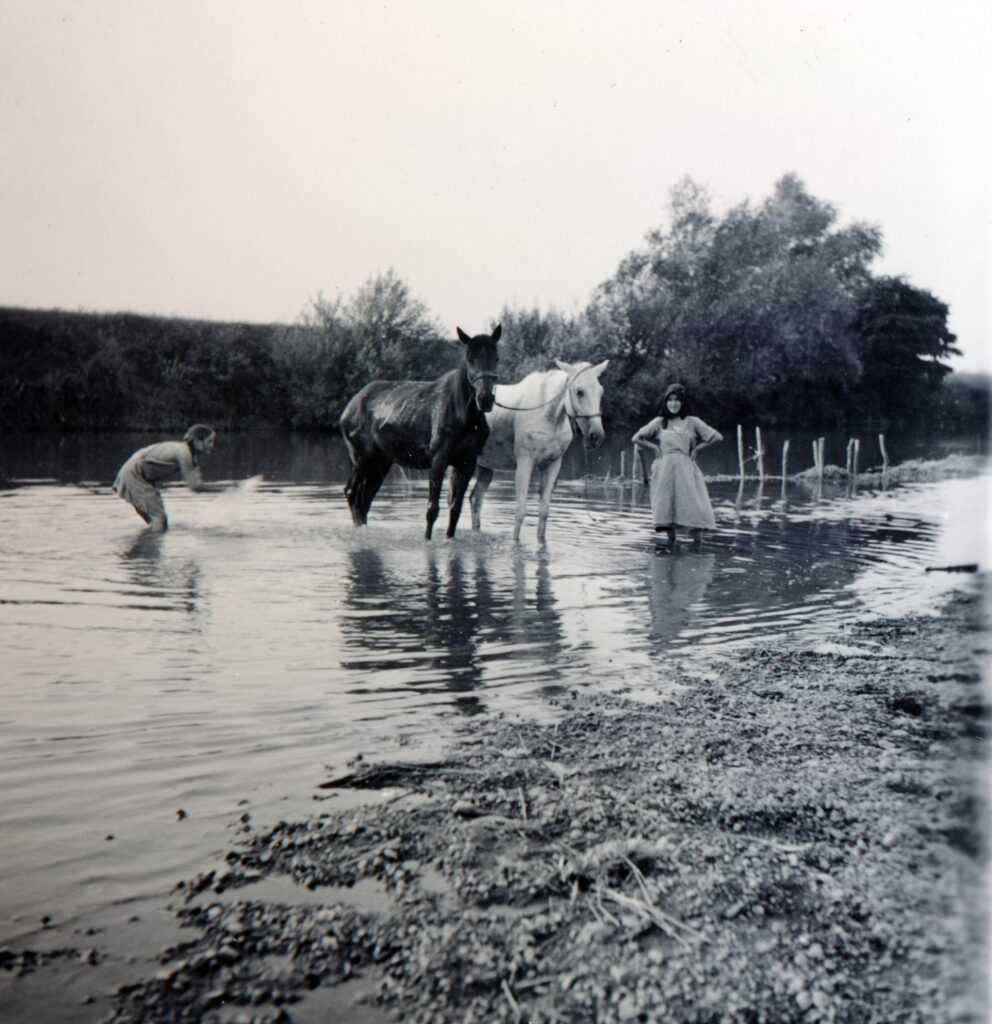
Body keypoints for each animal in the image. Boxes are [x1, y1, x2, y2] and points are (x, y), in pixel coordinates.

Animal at [339, 323, 499, 540]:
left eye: (496, 358)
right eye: (470, 359)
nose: (485, 399)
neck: (466, 414)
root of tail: (346, 410)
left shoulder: (468, 461)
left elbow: (455, 510)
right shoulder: (438, 458)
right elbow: (432, 509)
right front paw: (427, 540)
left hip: (381, 462)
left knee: (365, 500)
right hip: (361, 458)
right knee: (352, 493)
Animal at [468, 360, 606, 544]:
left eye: (600, 391)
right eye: (579, 392)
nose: (596, 436)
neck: (549, 417)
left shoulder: (552, 465)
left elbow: (544, 512)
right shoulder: (525, 463)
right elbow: (520, 511)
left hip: (485, 467)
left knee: (475, 500)